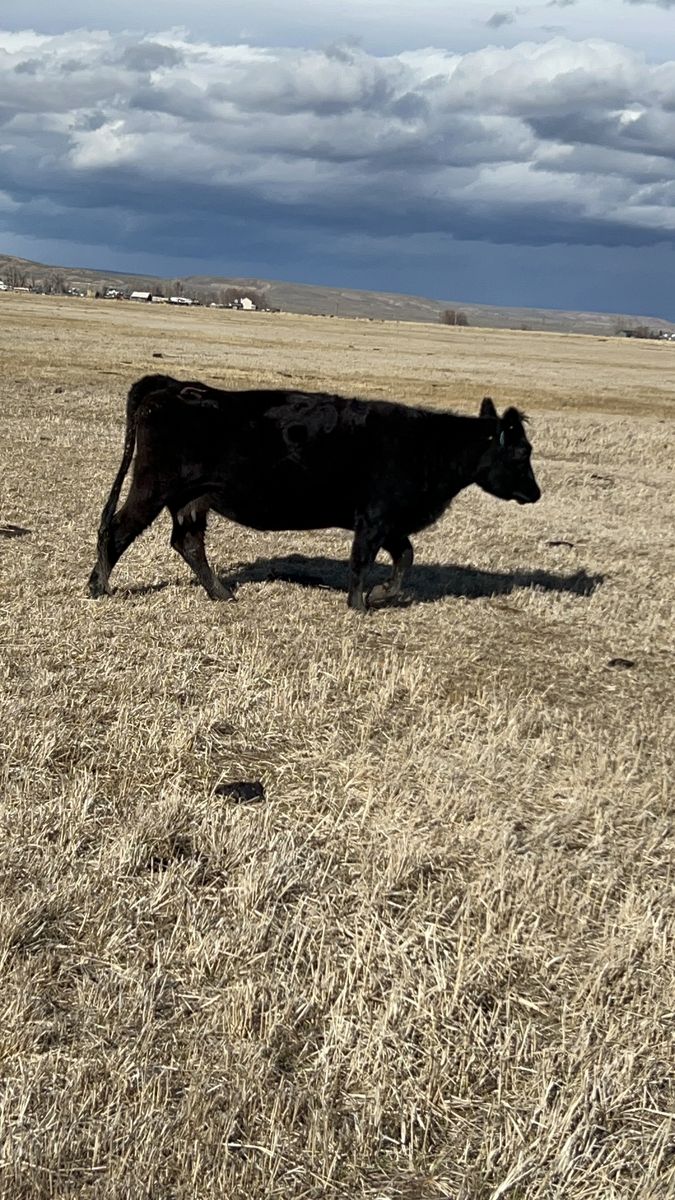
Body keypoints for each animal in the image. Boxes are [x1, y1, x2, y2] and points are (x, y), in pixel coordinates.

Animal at [88, 375, 541, 611]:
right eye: (522, 453)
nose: (536, 493)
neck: (427, 445)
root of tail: (174, 386)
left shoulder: (391, 521)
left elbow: (405, 557)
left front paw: (383, 594)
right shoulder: (374, 518)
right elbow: (362, 562)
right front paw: (359, 604)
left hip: (192, 498)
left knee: (187, 542)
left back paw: (222, 593)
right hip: (154, 487)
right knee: (117, 529)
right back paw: (99, 587)